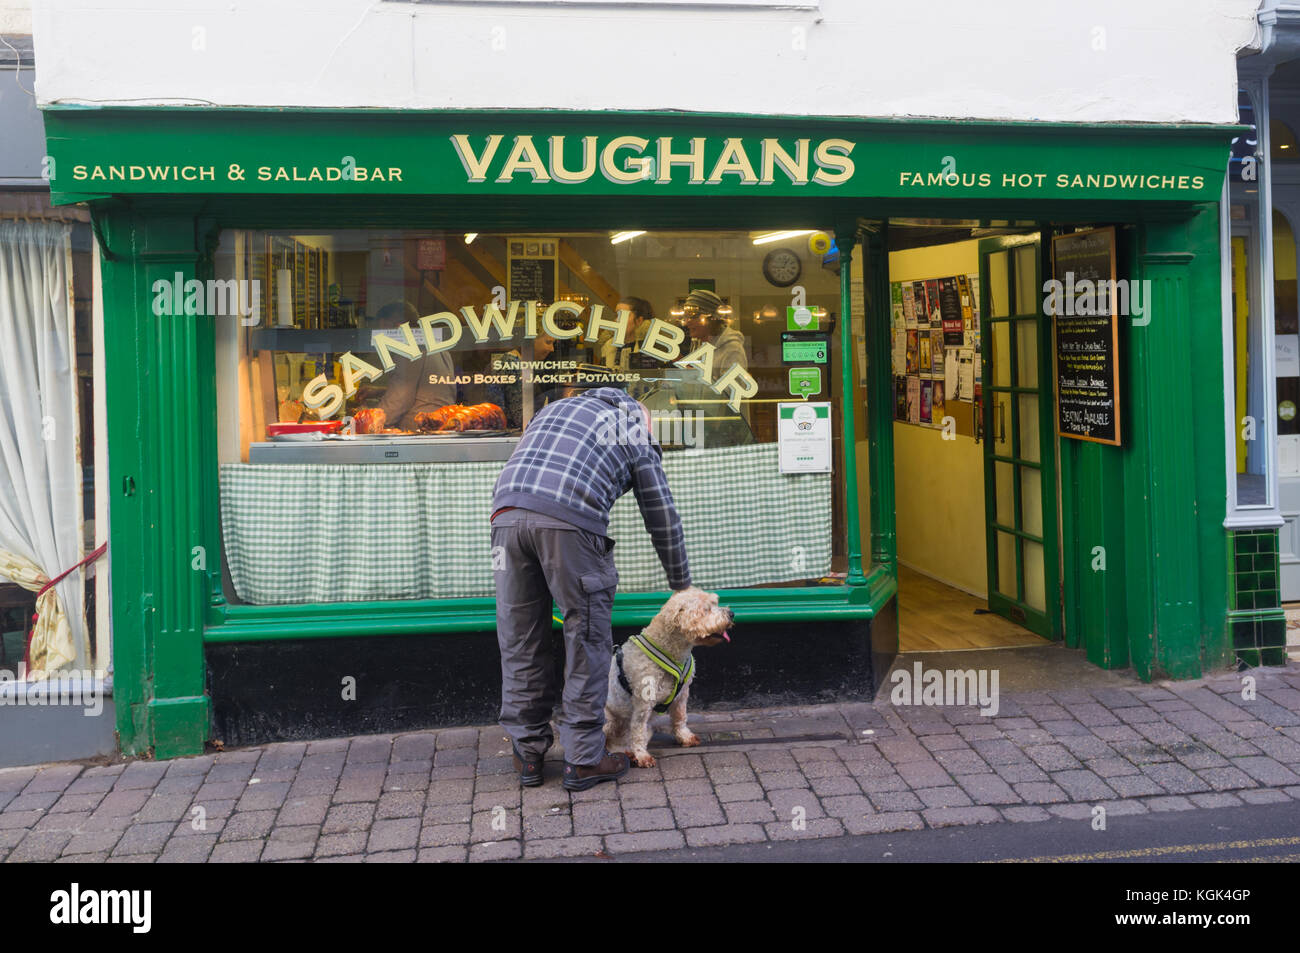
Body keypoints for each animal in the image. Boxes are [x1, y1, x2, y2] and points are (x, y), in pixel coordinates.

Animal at [600, 582, 733, 769]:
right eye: (706, 609)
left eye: (715, 603)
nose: (731, 614)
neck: (671, 652)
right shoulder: (643, 703)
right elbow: (637, 730)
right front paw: (642, 755)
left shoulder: (682, 695)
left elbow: (680, 717)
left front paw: (684, 736)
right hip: (608, 720)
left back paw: (628, 753)